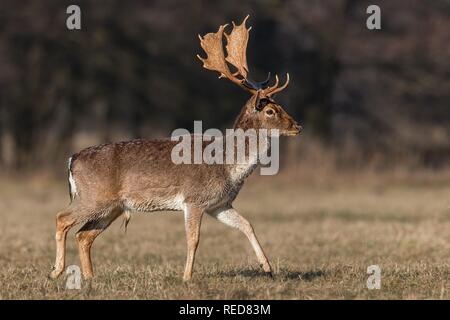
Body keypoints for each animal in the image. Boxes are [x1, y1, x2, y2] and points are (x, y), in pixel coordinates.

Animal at [49, 15, 302, 282]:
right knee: (62, 218)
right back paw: (56, 271)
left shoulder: (219, 204)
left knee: (83, 235)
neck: (228, 166)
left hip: (113, 207)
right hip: (94, 197)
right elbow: (194, 239)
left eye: (280, 105)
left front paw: (267, 267)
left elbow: (247, 224)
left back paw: (90, 277)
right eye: (270, 110)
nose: (297, 126)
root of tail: (72, 158)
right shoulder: (194, 199)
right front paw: (187, 277)